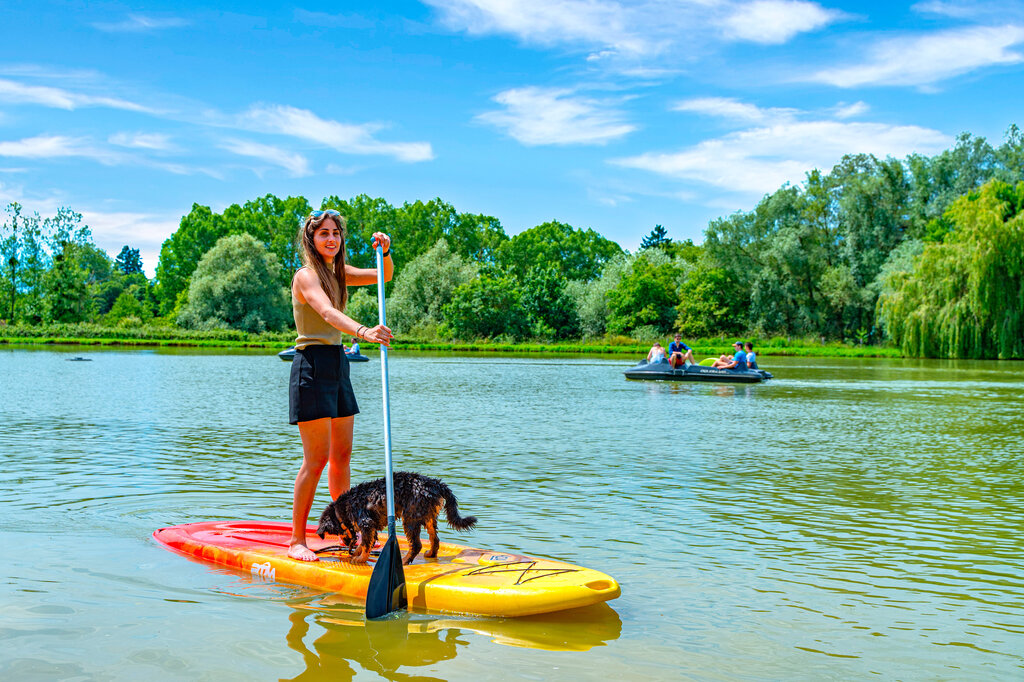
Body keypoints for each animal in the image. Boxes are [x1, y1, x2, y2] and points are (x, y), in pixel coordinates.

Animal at [315, 471, 475, 561]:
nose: (347, 543)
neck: (342, 509)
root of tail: (436, 484)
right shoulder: (371, 526)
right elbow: (365, 543)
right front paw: (357, 552)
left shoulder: (366, 522)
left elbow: (366, 544)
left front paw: (360, 558)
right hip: (428, 517)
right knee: (434, 539)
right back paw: (430, 553)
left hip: (410, 518)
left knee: (416, 545)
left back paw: (404, 561)